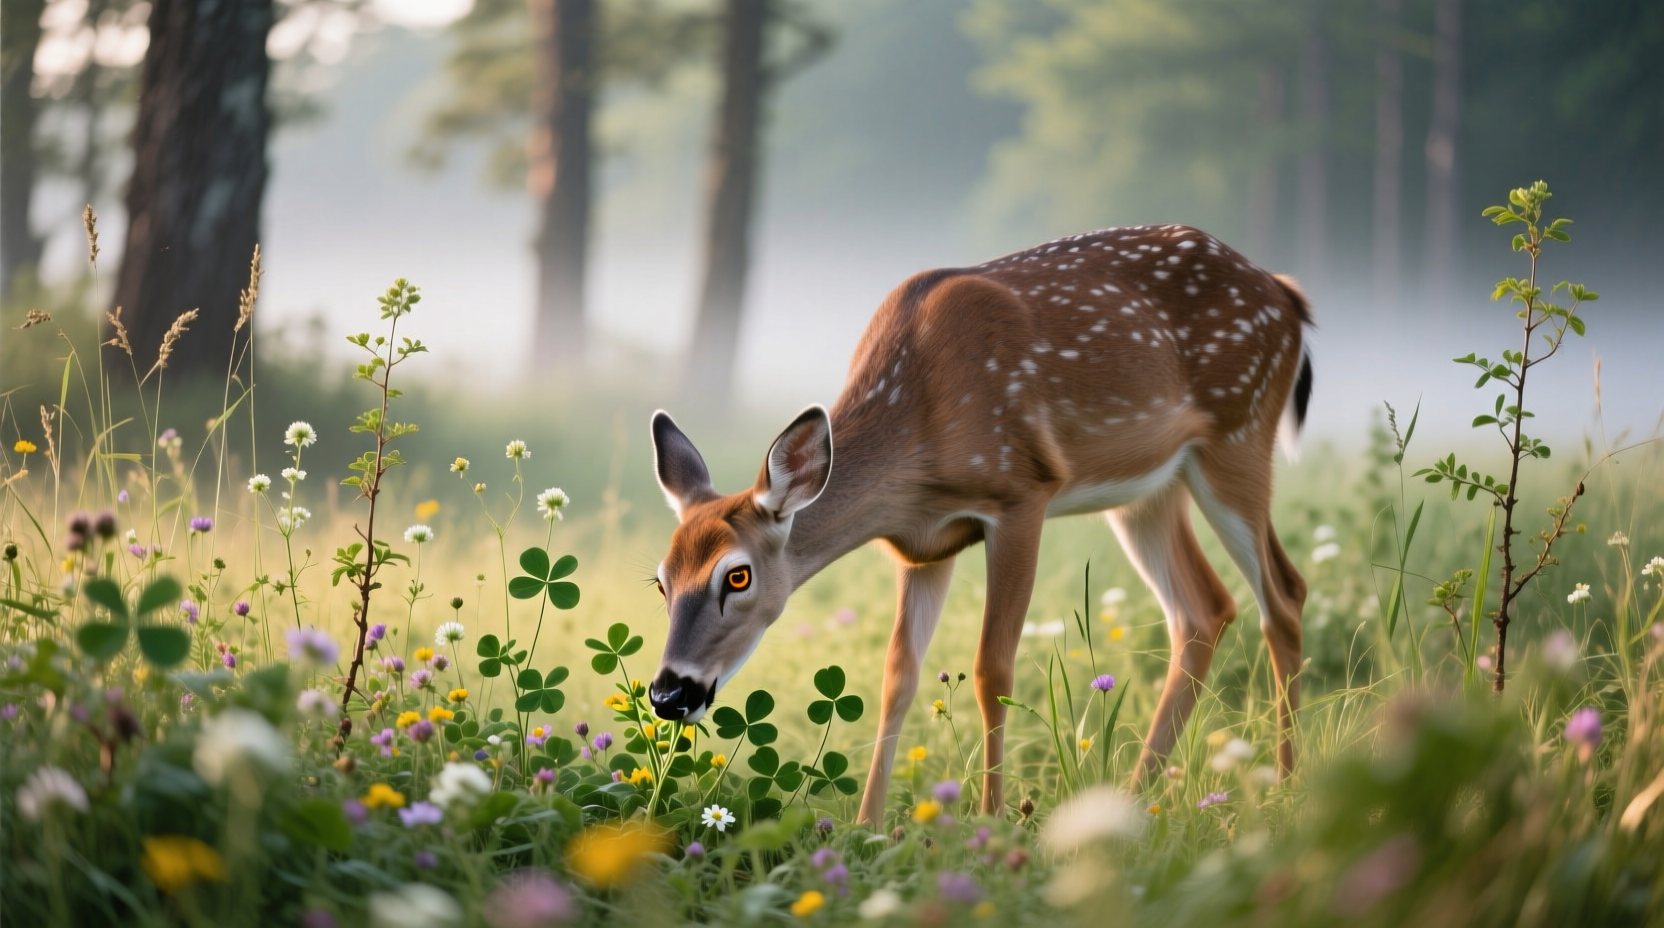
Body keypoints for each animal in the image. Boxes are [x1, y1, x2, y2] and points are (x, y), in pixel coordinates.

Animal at [645, 224, 1313, 825]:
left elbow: (994, 669)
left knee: (1284, 592)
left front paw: (989, 822)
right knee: (1205, 608)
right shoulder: (922, 544)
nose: (668, 693)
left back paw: (1284, 788)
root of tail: (1287, 296)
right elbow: (897, 674)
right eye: (661, 580)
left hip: (1239, 432)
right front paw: (867, 826)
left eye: (737, 575)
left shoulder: (1020, 492)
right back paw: (1133, 798)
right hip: (1147, 489)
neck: (920, 427)